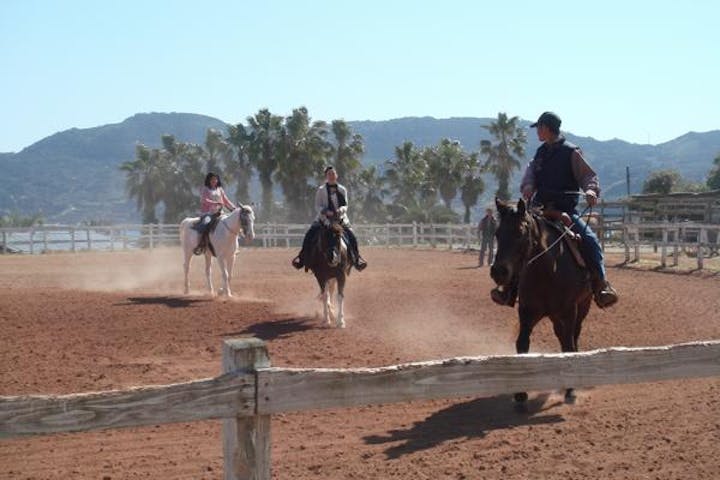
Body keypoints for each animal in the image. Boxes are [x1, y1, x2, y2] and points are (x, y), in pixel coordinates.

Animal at [492, 198, 592, 404]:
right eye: (497, 233)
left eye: (520, 233)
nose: (498, 272)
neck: (548, 270)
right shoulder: (527, 312)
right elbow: (522, 345)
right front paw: (520, 393)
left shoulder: (569, 311)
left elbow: (569, 347)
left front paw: (571, 391)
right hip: (554, 316)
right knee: (562, 336)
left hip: (583, 306)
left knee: (573, 337)